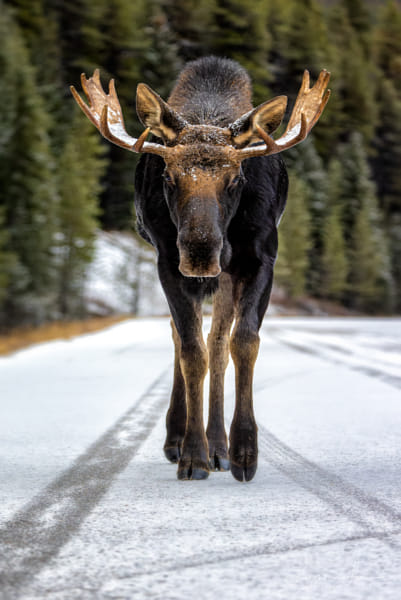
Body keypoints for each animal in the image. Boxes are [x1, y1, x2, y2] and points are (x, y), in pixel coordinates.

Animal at [71, 56, 328, 482]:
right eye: (168, 176)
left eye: (236, 178)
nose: (200, 251)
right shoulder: (167, 262)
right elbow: (192, 350)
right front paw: (193, 454)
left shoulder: (260, 259)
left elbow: (243, 342)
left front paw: (243, 451)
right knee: (183, 338)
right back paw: (181, 439)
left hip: (226, 277)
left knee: (219, 343)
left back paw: (219, 447)